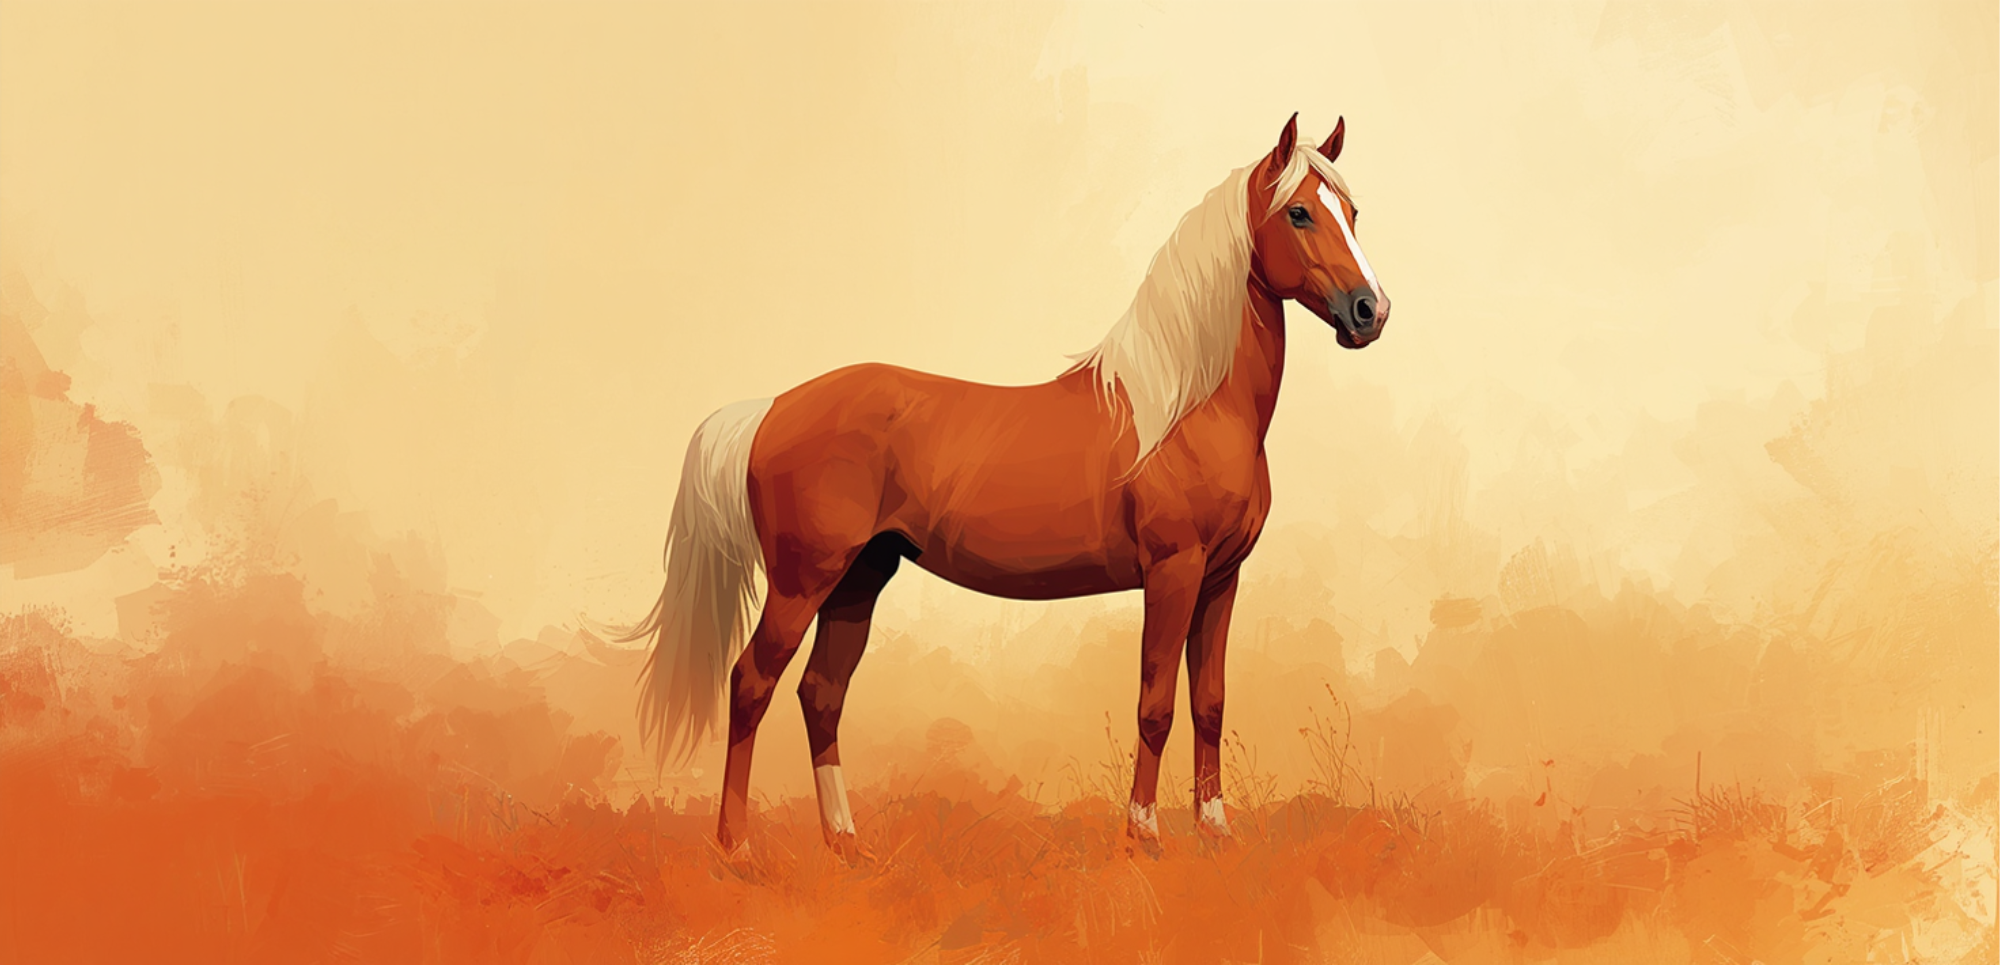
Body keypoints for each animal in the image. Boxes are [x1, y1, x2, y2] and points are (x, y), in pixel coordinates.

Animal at [618, 113, 1389, 859]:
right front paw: (1143, 835)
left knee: (820, 693)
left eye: (1352, 210)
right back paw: (738, 849)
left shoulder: (1222, 578)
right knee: (751, 683)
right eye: (1299, 212)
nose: (1370, 311)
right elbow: (1156, 703)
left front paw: (1216, 831)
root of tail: (771, 407)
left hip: (858, 578)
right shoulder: (1174, 570)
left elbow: (1211, 704)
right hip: (802, 580)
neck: (1185, 406)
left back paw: (845, 843)